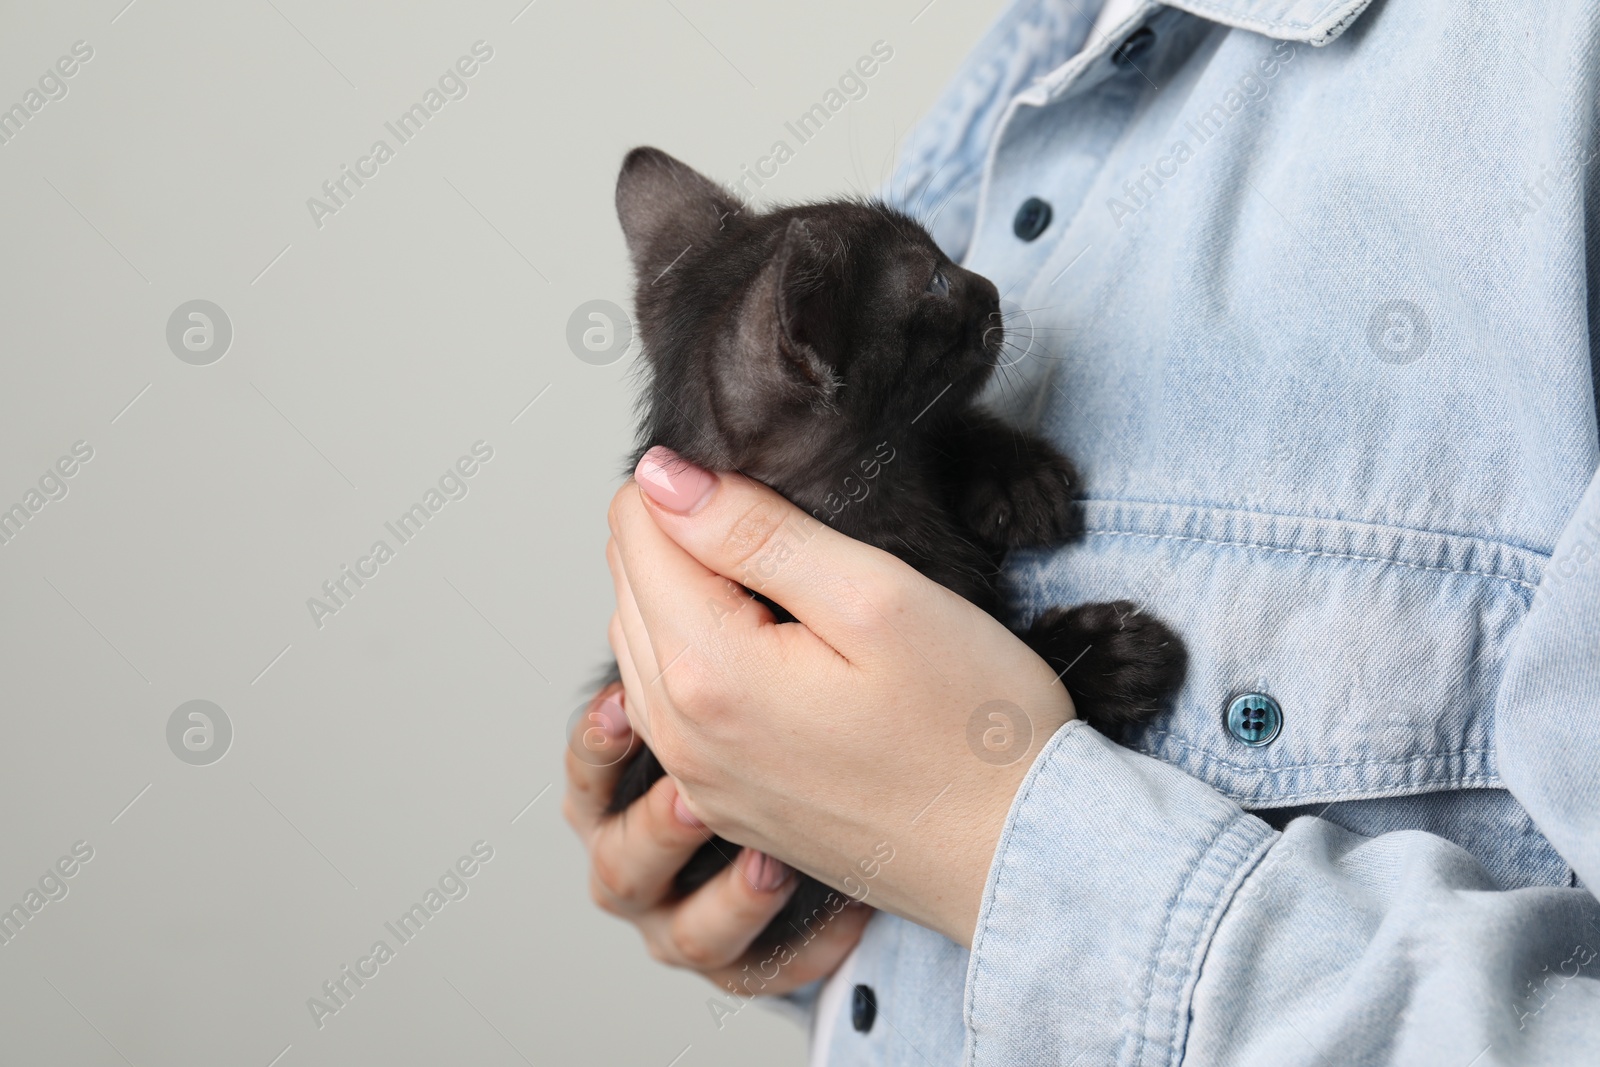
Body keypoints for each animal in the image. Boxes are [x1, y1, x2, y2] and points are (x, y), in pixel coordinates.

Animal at [595, 147, 1184, 953]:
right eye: (932, 281)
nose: (987, 281)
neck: (885, 497)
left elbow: (943, 427)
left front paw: (1016, 476)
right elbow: (1008, 668)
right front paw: (1109, 656)